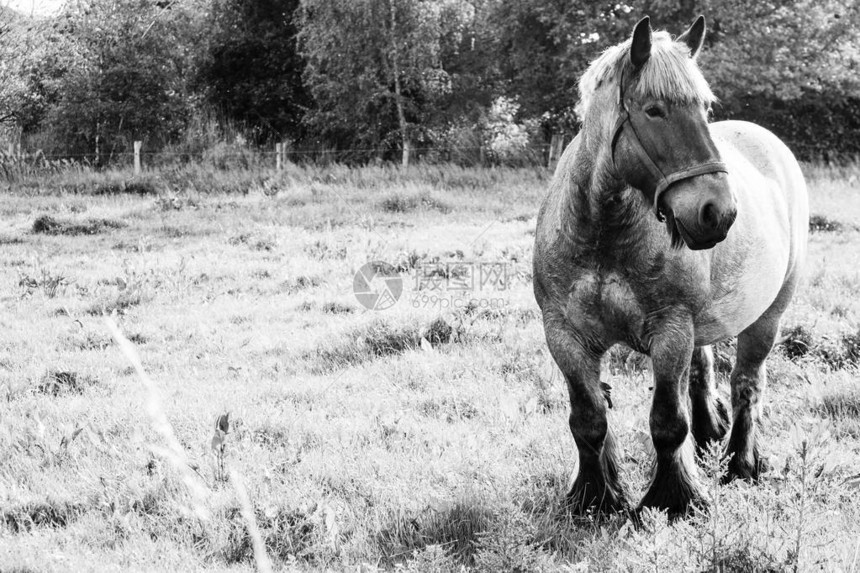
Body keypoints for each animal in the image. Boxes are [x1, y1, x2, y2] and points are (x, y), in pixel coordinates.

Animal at [536, 15, 808, 512]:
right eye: (654, 110)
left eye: (705, 107)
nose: (718, 211)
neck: (604, 233)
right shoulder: (565, 336)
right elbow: (588, 420)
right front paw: (595, 497)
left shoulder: (670, 332)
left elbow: (666, 422)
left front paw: (674, 499)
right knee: (701, 374)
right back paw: (708, 441)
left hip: (767, 317)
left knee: (746, 385)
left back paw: (741, 465)